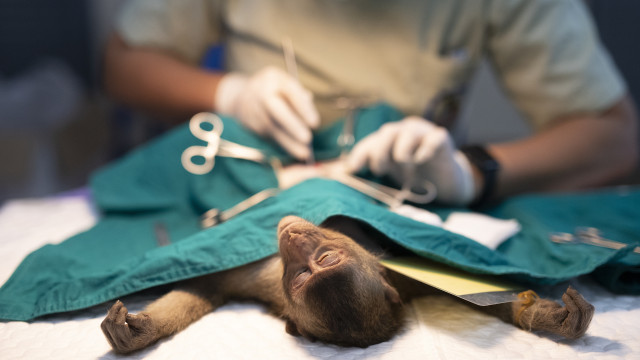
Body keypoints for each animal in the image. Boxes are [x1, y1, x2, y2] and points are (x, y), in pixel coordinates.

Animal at [99, 215, 596, 352]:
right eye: (304, 272)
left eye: (322, 262)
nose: (290, 235)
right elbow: (205, 286)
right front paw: (139, 330)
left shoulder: (407, 281)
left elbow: (478, 295)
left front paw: (548, 314)